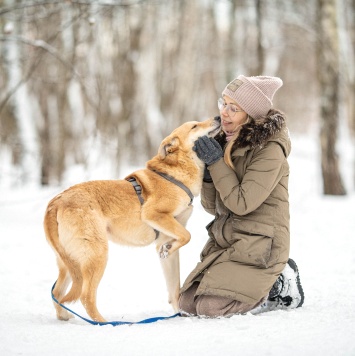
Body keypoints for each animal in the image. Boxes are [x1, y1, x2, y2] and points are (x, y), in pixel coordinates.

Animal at [44, 117, 221, 322]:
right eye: (194, 126)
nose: (217, 117)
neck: (174, 176)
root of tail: (56, 202)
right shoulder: (154, 214)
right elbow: (187, 235)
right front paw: (169, 248)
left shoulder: (166, 237)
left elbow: (174, 287)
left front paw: (179, 313)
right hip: (96, 255)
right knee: (85, 296)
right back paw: (103, 323)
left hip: (69, 263)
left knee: (57, 293)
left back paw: (65, 316)